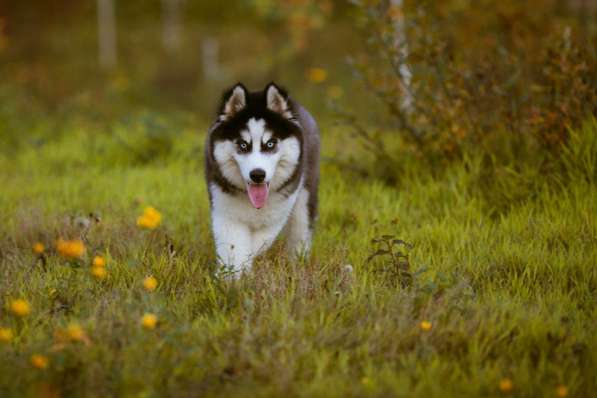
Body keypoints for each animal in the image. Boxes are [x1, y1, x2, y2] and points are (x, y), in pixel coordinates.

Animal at [205, 81, 318, 274]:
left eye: (270, 144)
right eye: (243, 145)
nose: (257, 174)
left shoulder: (276, 215)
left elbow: (256, 244)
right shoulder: (225, 211)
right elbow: (233, 246)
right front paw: (231, 278)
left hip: (305, 197)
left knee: (300, 230)